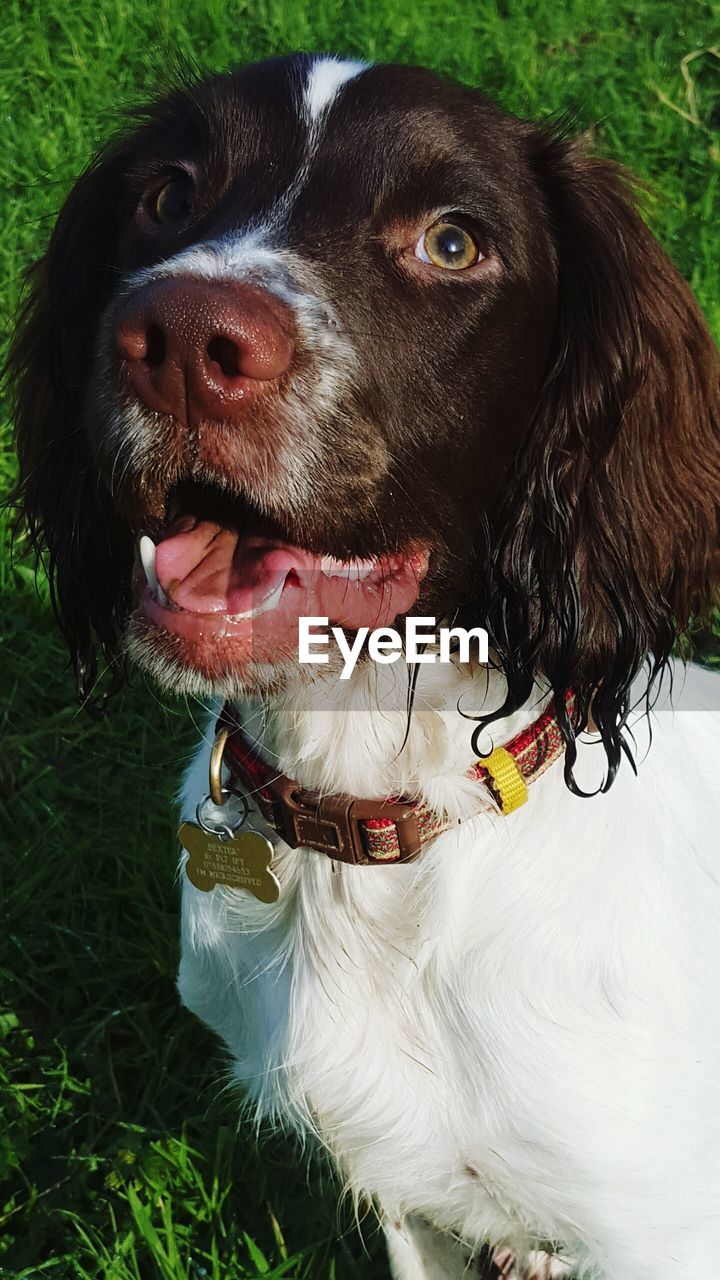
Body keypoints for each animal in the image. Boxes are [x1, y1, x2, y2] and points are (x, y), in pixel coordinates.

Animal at [9, 52, 717, 1280]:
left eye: (452, 242)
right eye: (168, 196)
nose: (180, 340)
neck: (377, 824)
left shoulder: (661, 1229)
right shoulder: (407, 1197)